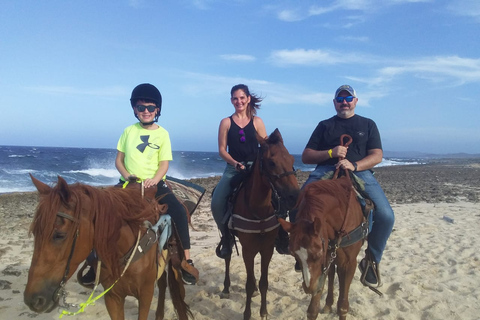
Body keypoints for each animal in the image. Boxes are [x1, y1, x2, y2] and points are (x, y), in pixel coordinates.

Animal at [222, 129, 300, 318]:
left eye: (292, 159)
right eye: (271, 162)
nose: (295, 196)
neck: (259, 209)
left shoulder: (267, 248)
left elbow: (264, 282)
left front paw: (263, 312)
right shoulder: (248, 250)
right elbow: (249, 284)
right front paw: (247, 314)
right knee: (227, 257)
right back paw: (226, 288)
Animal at [278, 172, 368, 320]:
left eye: (318, 253)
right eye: (293, 254)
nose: (308, 288)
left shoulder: (349, 263)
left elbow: (343, 306)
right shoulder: (324, 263)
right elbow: (312, 309)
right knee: (331, 274)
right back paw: (328, 304)